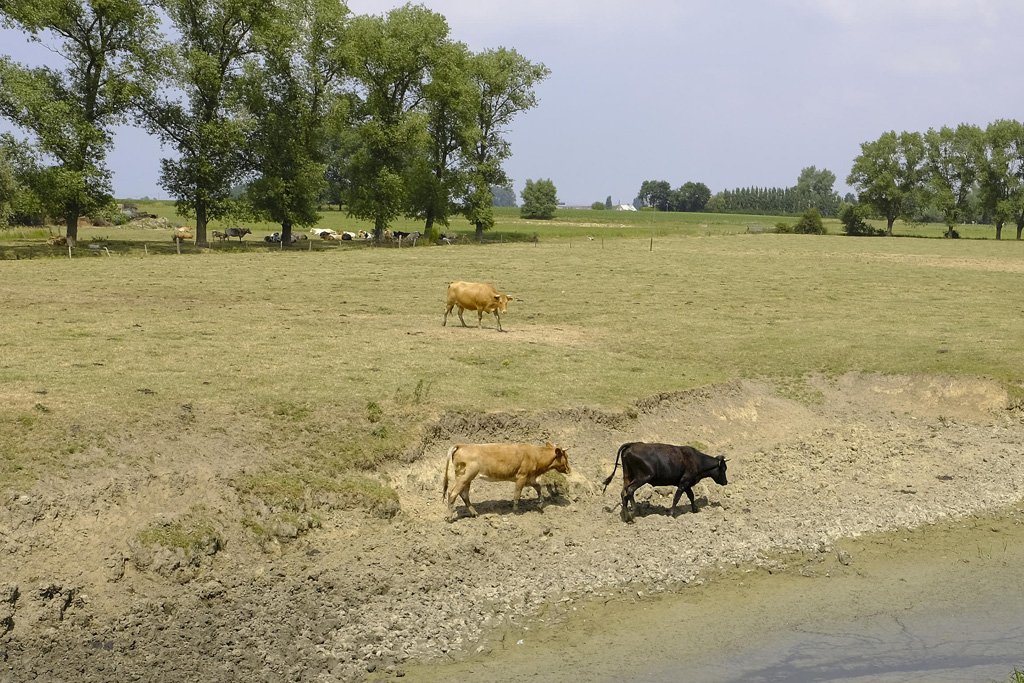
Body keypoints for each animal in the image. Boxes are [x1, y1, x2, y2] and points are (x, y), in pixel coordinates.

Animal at [440, 444, 569, 524]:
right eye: (566, 457)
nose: (569, 469)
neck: (535, 455)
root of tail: (462, 445)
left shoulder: (530, 478)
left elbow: (539, 488)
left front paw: (540, 504)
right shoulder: (521, 477)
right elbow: (517, 494)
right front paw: (516, 511)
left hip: (467, 479)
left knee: (464, 494)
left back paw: (474, 513)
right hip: (464, 477)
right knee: (453, 493)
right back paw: (449, 517)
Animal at [598, 444, 729, 524]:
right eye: (724, 469)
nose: (726, 482)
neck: (697, 460)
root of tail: (632, 445)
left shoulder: (686, 483)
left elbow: (691, 496)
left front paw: (695, 509)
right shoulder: (684, 482)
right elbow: (677, 497)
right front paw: (671, 514)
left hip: (628, 476)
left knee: (624, 493)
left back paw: (627, 515)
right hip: (643, 477)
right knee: (629, 491)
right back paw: (632, 513)